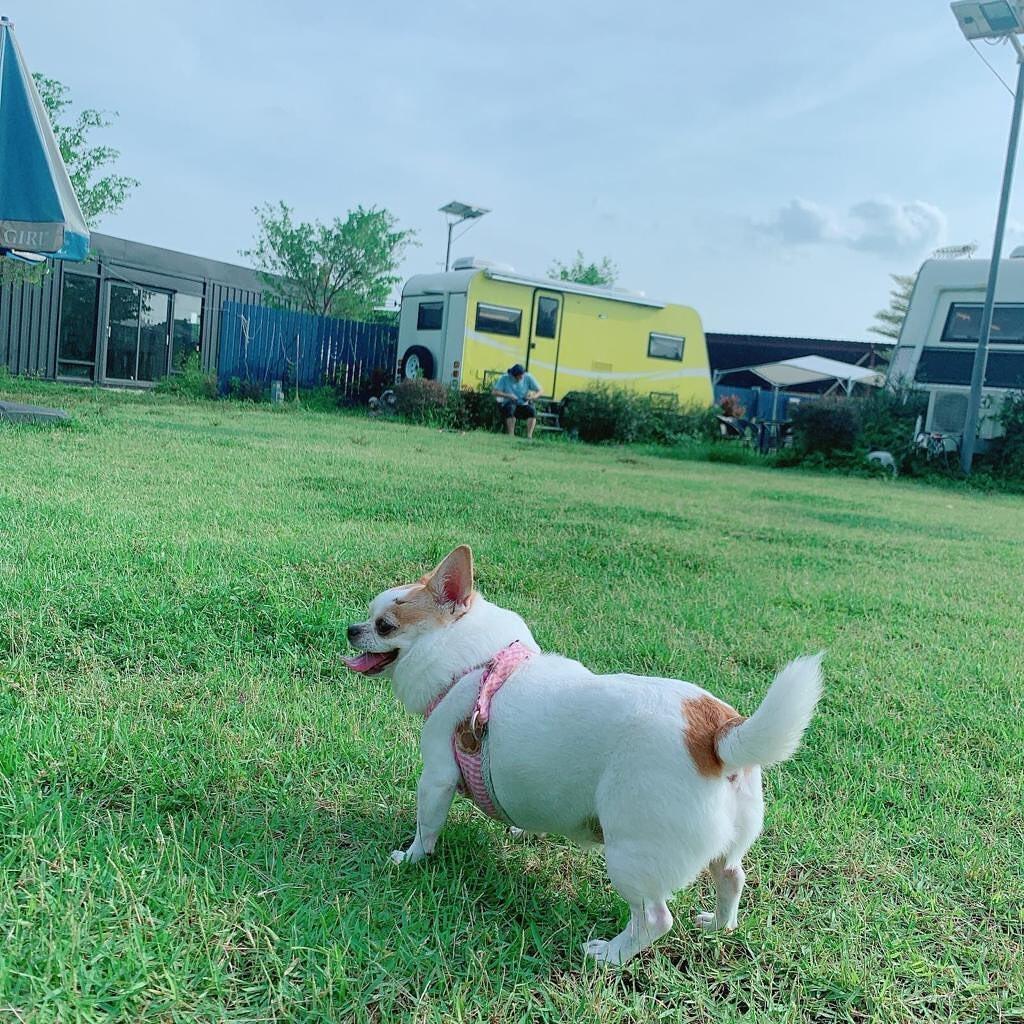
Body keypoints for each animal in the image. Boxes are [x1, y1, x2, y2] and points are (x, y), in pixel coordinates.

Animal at [348, 548, 819, 962]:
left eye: (384, 625)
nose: (352, 628)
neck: (477, 666)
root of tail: (715, 732)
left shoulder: (437, 776)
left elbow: (426, 827)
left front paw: (410, 858)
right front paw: (520, 831)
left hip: (631, 854)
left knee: (655, 918)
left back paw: (611, 954)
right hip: (728, 842)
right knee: (732, 877)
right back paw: (718, 924)